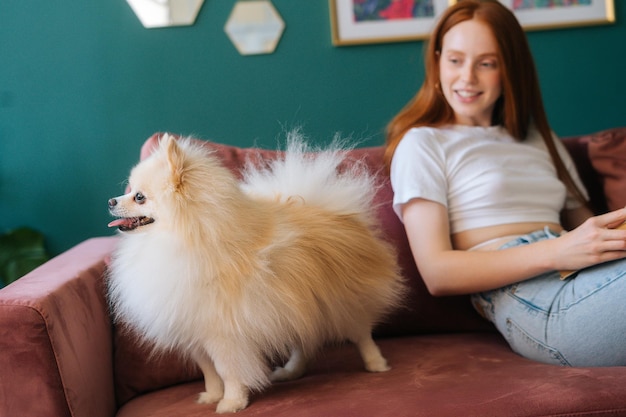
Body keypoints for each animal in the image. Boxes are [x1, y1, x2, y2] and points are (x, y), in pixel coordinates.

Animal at [107, 133, 404, 412]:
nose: (110, 200)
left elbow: (227, 371)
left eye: (139, 196)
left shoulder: (223, 334)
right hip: (301, 308)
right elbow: (209, 372)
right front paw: (212, 396)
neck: (185, 237)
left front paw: (231, 403)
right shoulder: (193, 331)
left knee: (361, 332)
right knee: (304, 342)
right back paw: (291, 371)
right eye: (129, 190)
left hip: (341, 302)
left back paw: (376, 363)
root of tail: (338, 212)